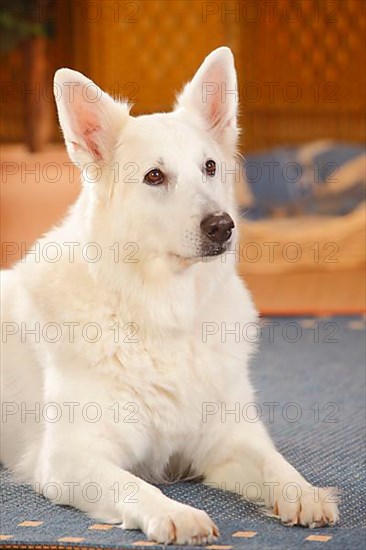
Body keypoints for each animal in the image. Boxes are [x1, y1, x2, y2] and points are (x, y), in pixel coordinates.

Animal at [0, 48, 338, 548]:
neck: (163, 316)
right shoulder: (70, 458)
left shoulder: (228, 438)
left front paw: (306, 494)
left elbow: (276, 464)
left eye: (210, 167)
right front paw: (176, 513)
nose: (222, 227)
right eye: (155, 176)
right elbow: (135, 485)